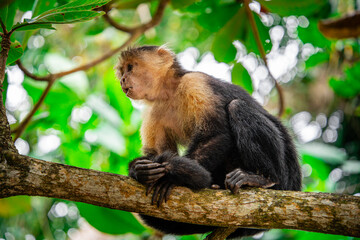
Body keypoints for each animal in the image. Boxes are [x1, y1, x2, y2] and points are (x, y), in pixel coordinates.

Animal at [115, 45, 300, 238]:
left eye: (130, 67)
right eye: (121, 71)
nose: (122, 80)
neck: (169, 93)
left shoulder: (196, 83)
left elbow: (215, 134)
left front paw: (171, 177)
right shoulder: (153, 112)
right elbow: (158, 153)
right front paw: (139, 170)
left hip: (285, 174)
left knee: (238, 107)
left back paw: (264, 179)